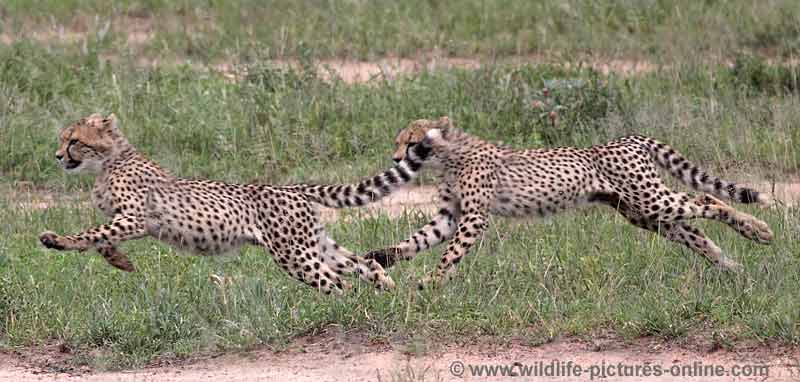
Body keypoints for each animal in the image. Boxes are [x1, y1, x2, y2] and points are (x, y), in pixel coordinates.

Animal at [39, 113, 432, 296]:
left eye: (73, 141)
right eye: (63, 140)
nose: (58, 156)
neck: (109, 161)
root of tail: (291, 187)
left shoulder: (135, 218)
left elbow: (91, 233)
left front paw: (57, 240)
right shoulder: (127, 220)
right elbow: (102, 239)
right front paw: (120, 262)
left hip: (294, 254)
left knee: (336, 282)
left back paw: (348, 308)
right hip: (314, 243)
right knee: (364, 264)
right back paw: (388, 295)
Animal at [364, 116, 776, 286]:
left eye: (412, 142)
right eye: (400, 141)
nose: (396, 159)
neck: (448, 155)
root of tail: (628, 138)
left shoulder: (473, 218)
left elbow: (450, 254)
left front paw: (431, 281)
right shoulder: (450, 216)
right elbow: (416, 240)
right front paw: (381, 258)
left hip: (651, 200)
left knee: (708, 198)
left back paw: (759, 231)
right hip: (642, 213)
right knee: (693, 232)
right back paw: (732, 266)